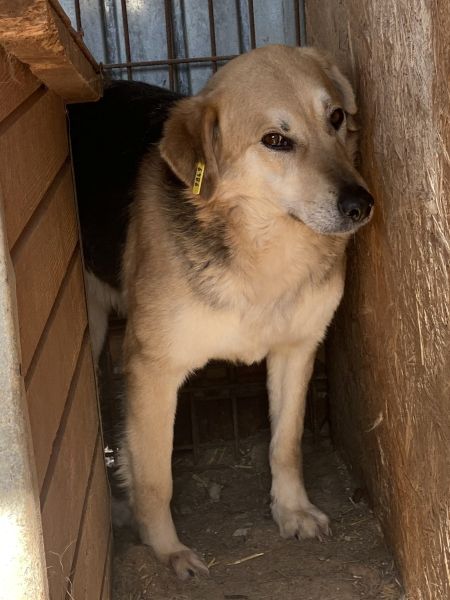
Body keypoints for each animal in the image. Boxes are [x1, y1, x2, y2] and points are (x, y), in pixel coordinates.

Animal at [69, 45, 374, 580]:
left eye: (335, 117)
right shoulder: (152, 367)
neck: (263, 247)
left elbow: (286, 444)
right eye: (275, 140)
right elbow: (156, 475)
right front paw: (166, 549)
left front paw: (292, 511)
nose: (362, 205)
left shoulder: (297, 351)